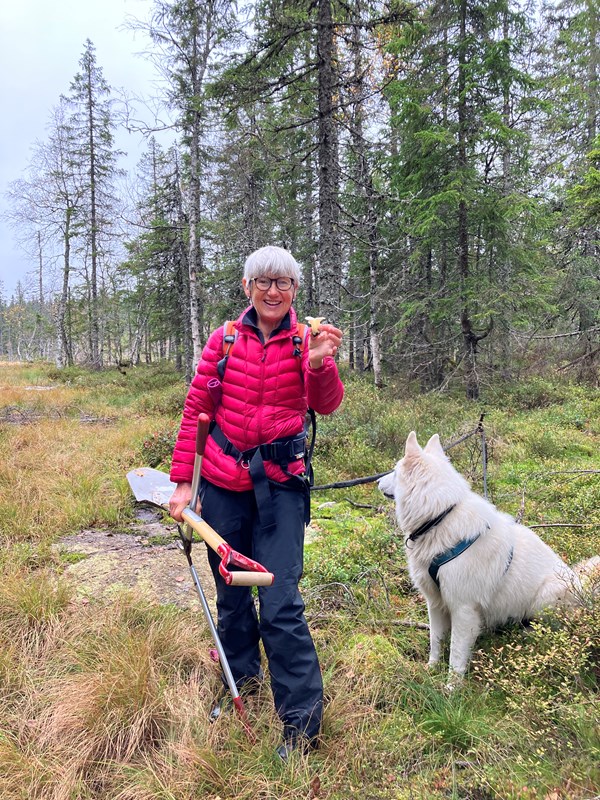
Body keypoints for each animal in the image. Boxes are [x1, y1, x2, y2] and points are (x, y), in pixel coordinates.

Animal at [380, 432, 592, 680]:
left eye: (395, 471)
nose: (376, 481)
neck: (440, 517)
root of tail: (585, 592)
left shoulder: (463, 610)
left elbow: (456, 656)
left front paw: (450, 687)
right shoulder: (435, 602)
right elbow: (435, 641)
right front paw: (431, 669)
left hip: (547, 594)